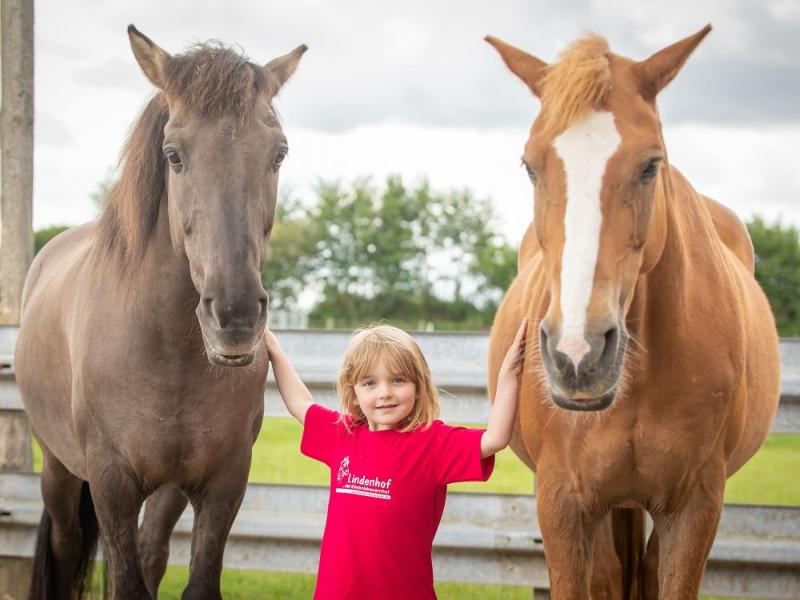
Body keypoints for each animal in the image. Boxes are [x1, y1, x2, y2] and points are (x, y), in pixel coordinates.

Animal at [18, 25, 308, 596]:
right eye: (173, 154)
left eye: (279, 154)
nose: (236, 317)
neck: (168, 349)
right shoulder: (111, 485)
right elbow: (126, 581)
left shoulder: (222, 483)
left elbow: (194, 579)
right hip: (59, 470)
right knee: (65, 547)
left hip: (169, 487)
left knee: (152, 552)